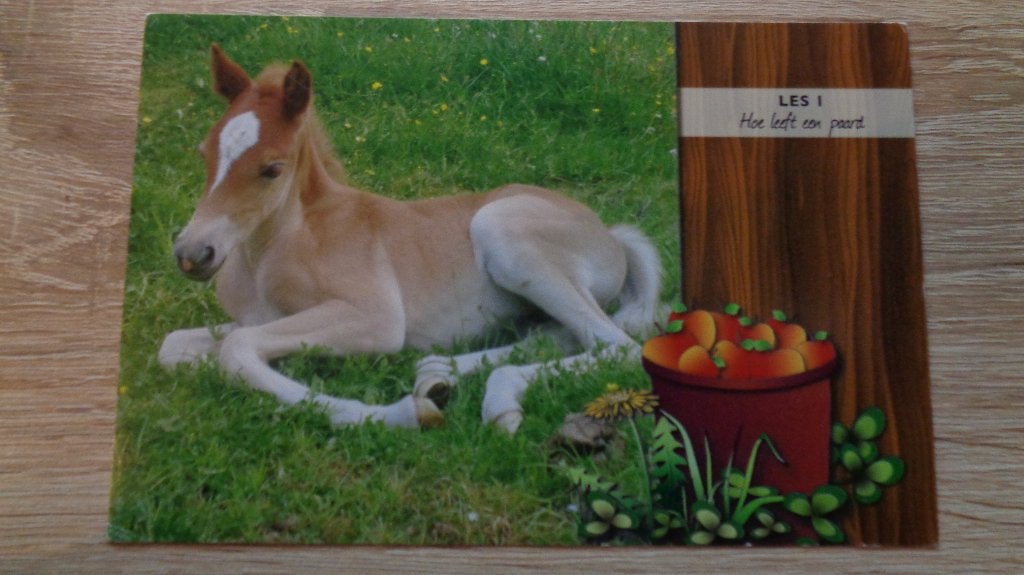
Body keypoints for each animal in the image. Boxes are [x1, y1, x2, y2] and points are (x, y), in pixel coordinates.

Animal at [158, 45, 662, 433]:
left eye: (272, 169)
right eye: (204, 152)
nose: (192, 253)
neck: (270, 252)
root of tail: (610, 234)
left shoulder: (375, 317)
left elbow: (237, 351)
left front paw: (402, 414)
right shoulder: (259, 318)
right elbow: (177, 347)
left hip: (502, 229)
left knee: (615, 346)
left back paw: (492, 398)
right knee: (561, 334)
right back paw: (440, 373)